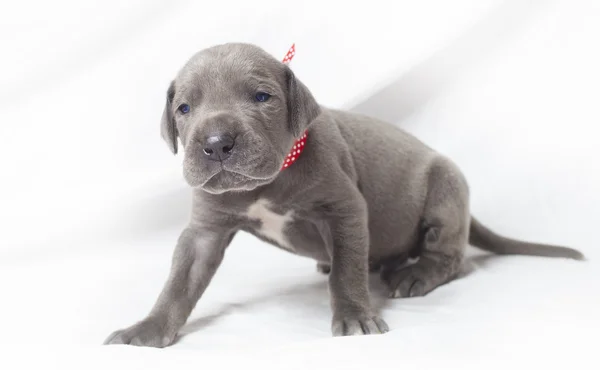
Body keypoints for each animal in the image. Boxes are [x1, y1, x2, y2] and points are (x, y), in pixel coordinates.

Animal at [105, 42, 584, 346]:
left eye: (262, 97)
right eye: (184, 108)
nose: (217, 143)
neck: (269, 180)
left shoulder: (345, 210)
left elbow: (347, 270)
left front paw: (354, 317)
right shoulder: (205, 231)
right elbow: (179, 283)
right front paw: (148, 329)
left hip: (446, 188)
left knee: (454, 257)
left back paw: (415, 274)